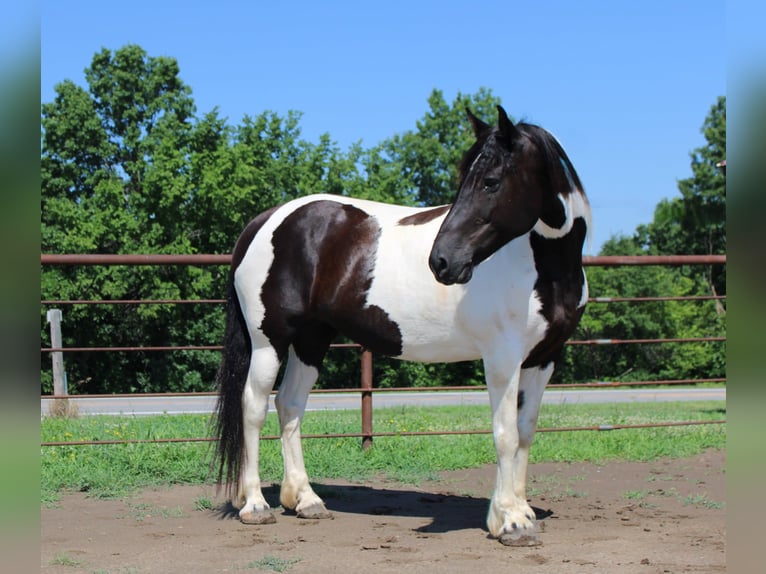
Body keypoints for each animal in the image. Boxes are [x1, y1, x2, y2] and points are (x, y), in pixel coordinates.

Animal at [213, 105, 591, 546]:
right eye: (467, 180)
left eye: (491, 181)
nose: (442, 261)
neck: (542, 266)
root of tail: (265, 221)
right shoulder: (502, 358)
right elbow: (505, 433)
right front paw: (511, 521)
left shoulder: (544, 358)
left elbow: (526, 432)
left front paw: (519, 511)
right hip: (268, 340)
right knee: (253, 407)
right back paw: (256, 505)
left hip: (311, 340)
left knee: (290, 404)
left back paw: (306, 500)